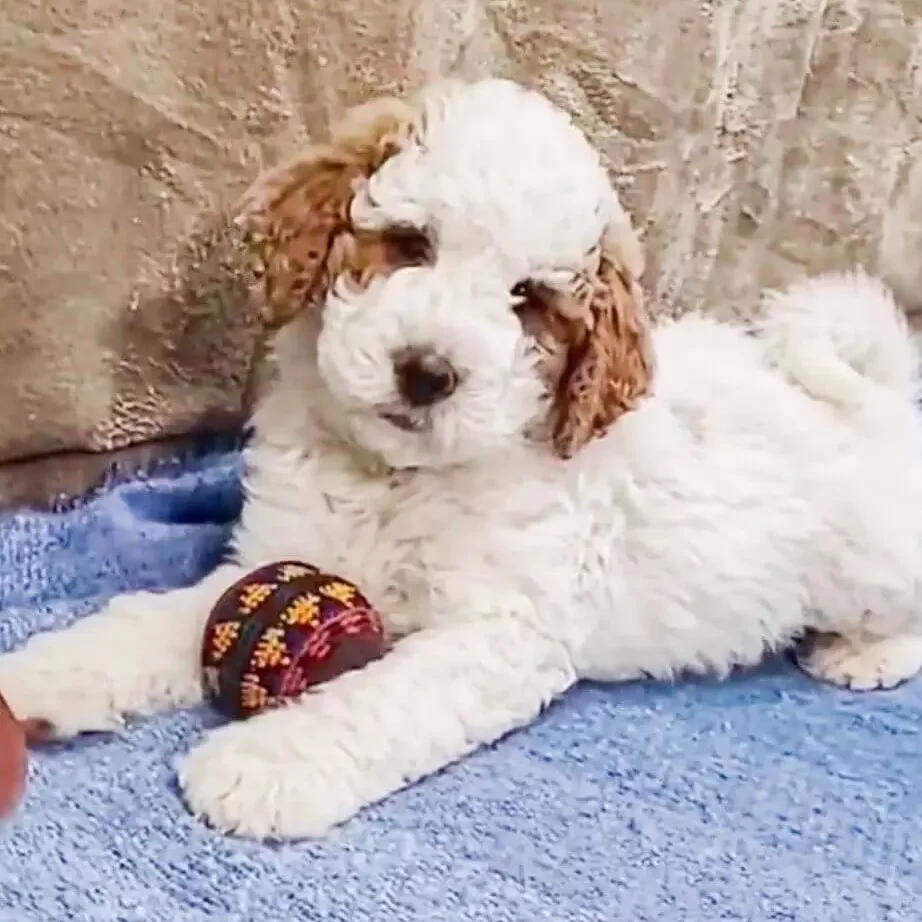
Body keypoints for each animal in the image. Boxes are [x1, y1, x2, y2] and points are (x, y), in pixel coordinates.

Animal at [1, 79, 920, 836]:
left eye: (530, 301)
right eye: (411, 245)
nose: (427, 372)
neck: (396, 478)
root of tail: (885, 399)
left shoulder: (498, 633)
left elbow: (375, 700)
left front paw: (260, 766)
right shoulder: (275, 555)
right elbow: (151, 622)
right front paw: (49, 675)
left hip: (865, 562)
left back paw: (863, 654)